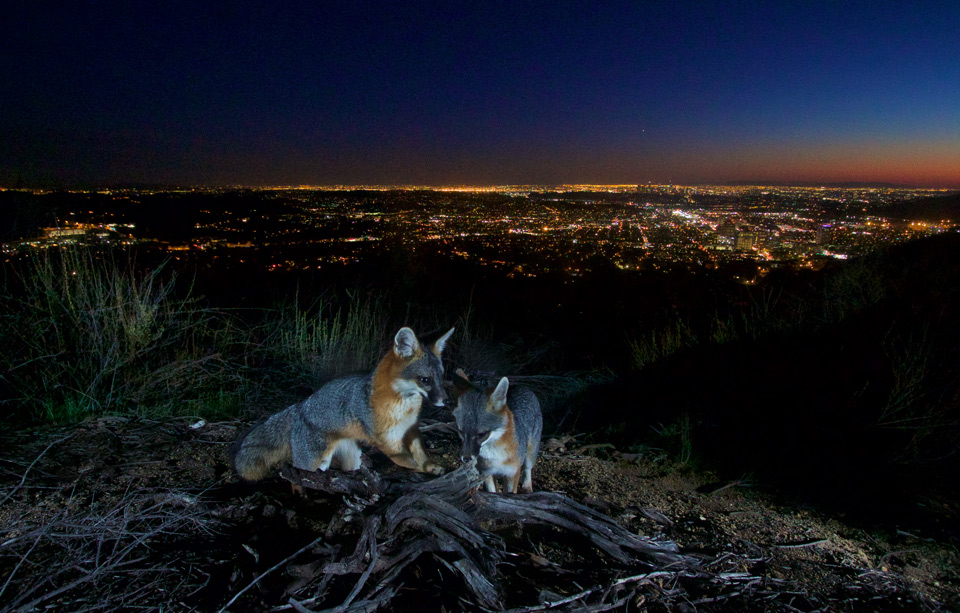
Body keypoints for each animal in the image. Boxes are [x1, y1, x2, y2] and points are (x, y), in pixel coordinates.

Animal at [231, 326, 454, 482]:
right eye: (425, 380)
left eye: (441, 377)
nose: (446, 400)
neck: (404, 408)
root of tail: (301, 407)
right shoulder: (387, 442)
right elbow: (409, 461)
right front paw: (427, 470)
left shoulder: (411, 430)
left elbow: (421, 455)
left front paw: (432, 466)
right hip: (313, 462)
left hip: (352, 459)